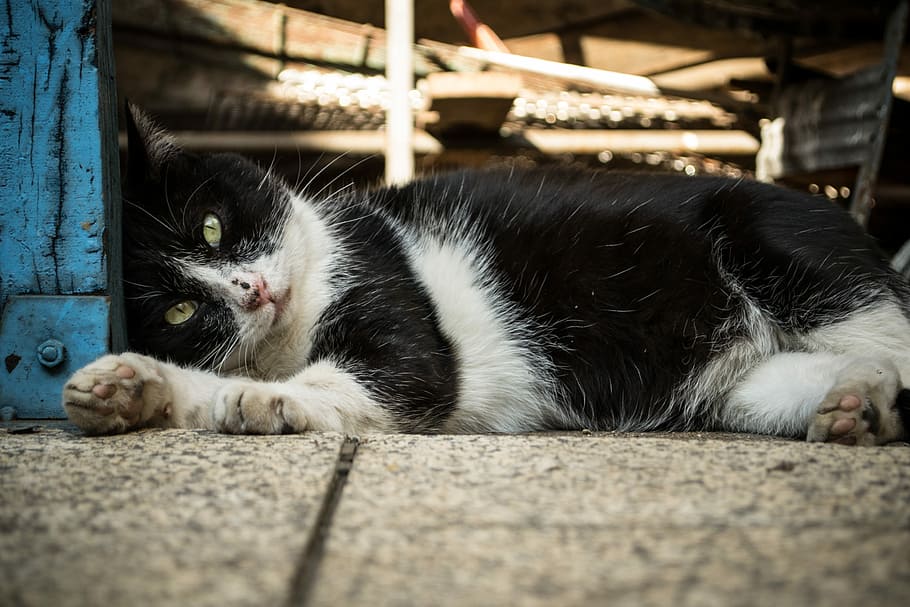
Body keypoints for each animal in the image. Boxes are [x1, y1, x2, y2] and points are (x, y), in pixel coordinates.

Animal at [64, 107, 910, 444]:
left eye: (211, 223)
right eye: (179, 309)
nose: (252, 290)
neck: (292, 334)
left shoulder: (399, 319)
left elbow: (371, 376)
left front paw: (269, 399)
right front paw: (130, 387)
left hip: (792, 255)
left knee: (890, 338)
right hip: (747, 387)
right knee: (841, 374)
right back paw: (857, 408)